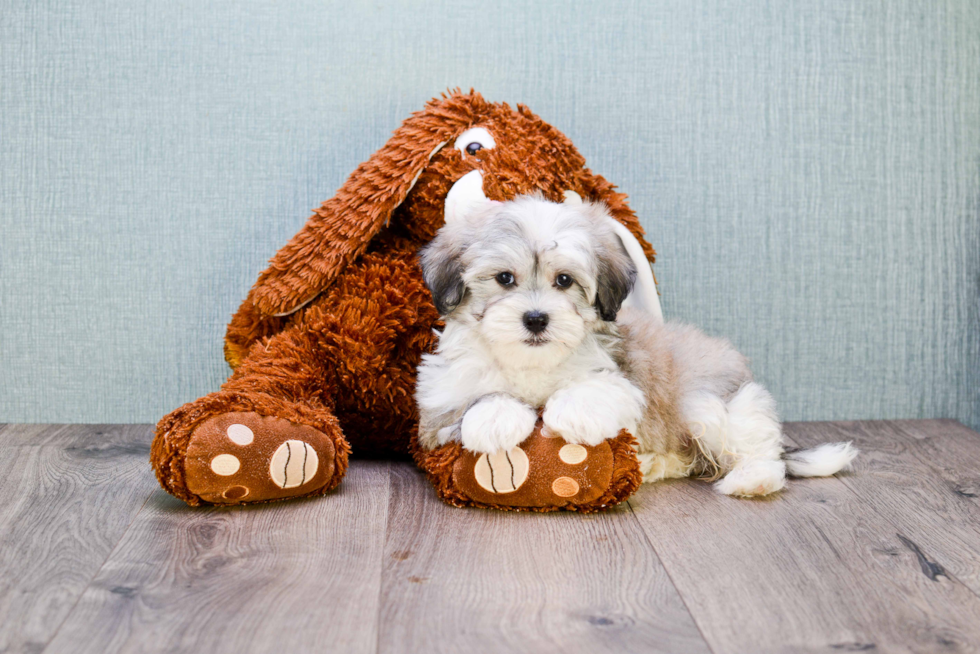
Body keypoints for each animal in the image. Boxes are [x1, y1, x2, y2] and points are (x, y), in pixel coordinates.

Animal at [416, 195, 856, 498]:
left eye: (564, 281)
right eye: (505, 278)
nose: (536, 318)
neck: (531, 362)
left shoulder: (626, 377)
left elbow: (597, 389)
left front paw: (572, 412)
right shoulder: (436, 406)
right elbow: (474, 400)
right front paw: (495, 418)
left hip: (707, 402)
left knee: (752, 443)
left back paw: (753, 479)